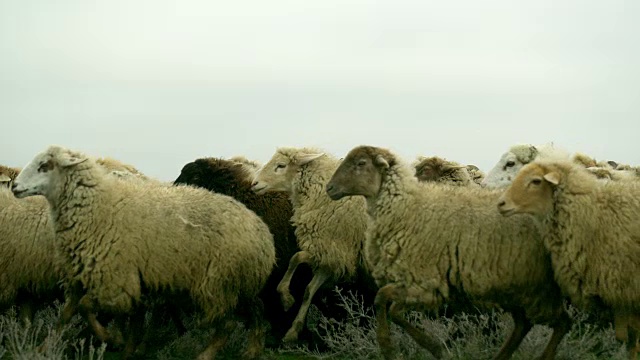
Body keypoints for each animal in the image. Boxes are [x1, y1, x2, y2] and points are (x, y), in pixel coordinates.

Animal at [10, 146, 276, 360]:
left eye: (45, 166)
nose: (14, 186)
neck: (99, 206)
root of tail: (263, 233)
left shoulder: (116, 281)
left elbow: (88, 308)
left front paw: (113, 339)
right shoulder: (97, 278)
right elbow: (74, 313)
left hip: (217, 284)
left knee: (228, 324)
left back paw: (205, 354)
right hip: (241, 282)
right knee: (257, 309)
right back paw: (253, 350)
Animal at [248, 146, 372, 344]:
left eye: (281, 165)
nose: (254, 183)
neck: (320, 194)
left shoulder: (336, 248)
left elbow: (296, 258)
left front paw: (286, 298)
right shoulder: (328, 255)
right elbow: (308, 288)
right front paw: (293, 330)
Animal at [324, 145, 568, 360]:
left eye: (361, 163)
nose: (329, 188)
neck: (408, 208)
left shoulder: (424, 282)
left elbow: (385, 301)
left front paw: (394, 347)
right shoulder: (416, 283)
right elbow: (388, 305)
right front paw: (425, 347)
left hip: (533, 287)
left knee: (562, 321)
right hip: (512, 288)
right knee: (524, 324)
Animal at [500, 158, 640, 360]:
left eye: (536, 181)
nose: (501, 203)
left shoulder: (628, 292)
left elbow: (632, 340)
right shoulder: (621, 296)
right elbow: (626, 339)